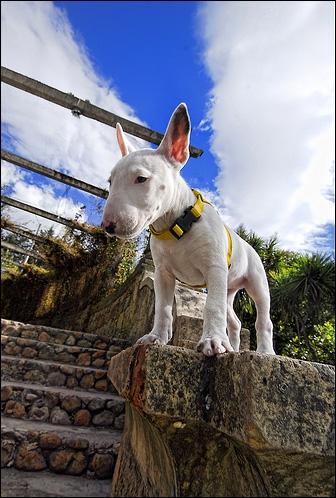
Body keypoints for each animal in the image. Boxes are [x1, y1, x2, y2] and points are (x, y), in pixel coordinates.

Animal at [102, 103, 276, 356]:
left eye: (141, 178)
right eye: (110, 181)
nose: (108, 226)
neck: (175, 226)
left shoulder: (214, 268)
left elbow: (211, 307)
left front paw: (213, 341)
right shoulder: (163, 274)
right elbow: (162, 307)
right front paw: (156, 337)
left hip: (256, 284)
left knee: (263, 319)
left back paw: (264, 351)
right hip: (227, 288)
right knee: (234, 321)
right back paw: (234, 348)